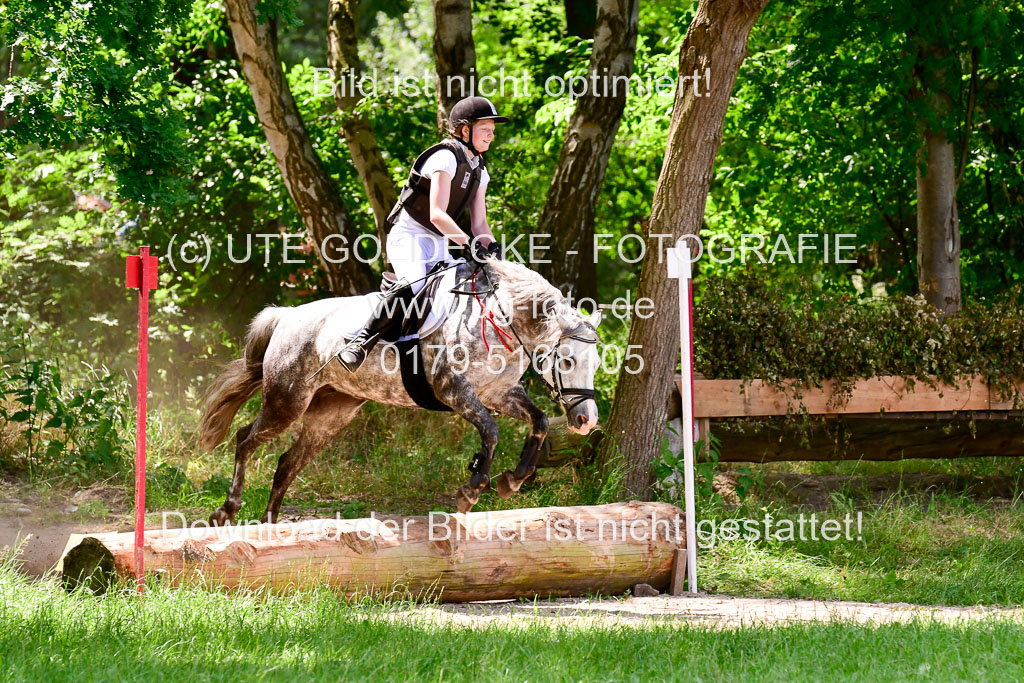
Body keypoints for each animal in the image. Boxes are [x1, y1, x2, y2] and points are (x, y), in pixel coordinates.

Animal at [197, 259, 602, 524]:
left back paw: (270, 525)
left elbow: (540, 422)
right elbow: (491, 430)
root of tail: (287, 315)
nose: (587, 421)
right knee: (245, 439)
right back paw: (227, 509)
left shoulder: (499, 393)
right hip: (287, 401)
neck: (499, 320)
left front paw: (511, 480)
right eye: (566, 361)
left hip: (332, 414)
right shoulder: (453, 389)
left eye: (596, 363)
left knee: (287, 463)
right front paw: (472, 489)